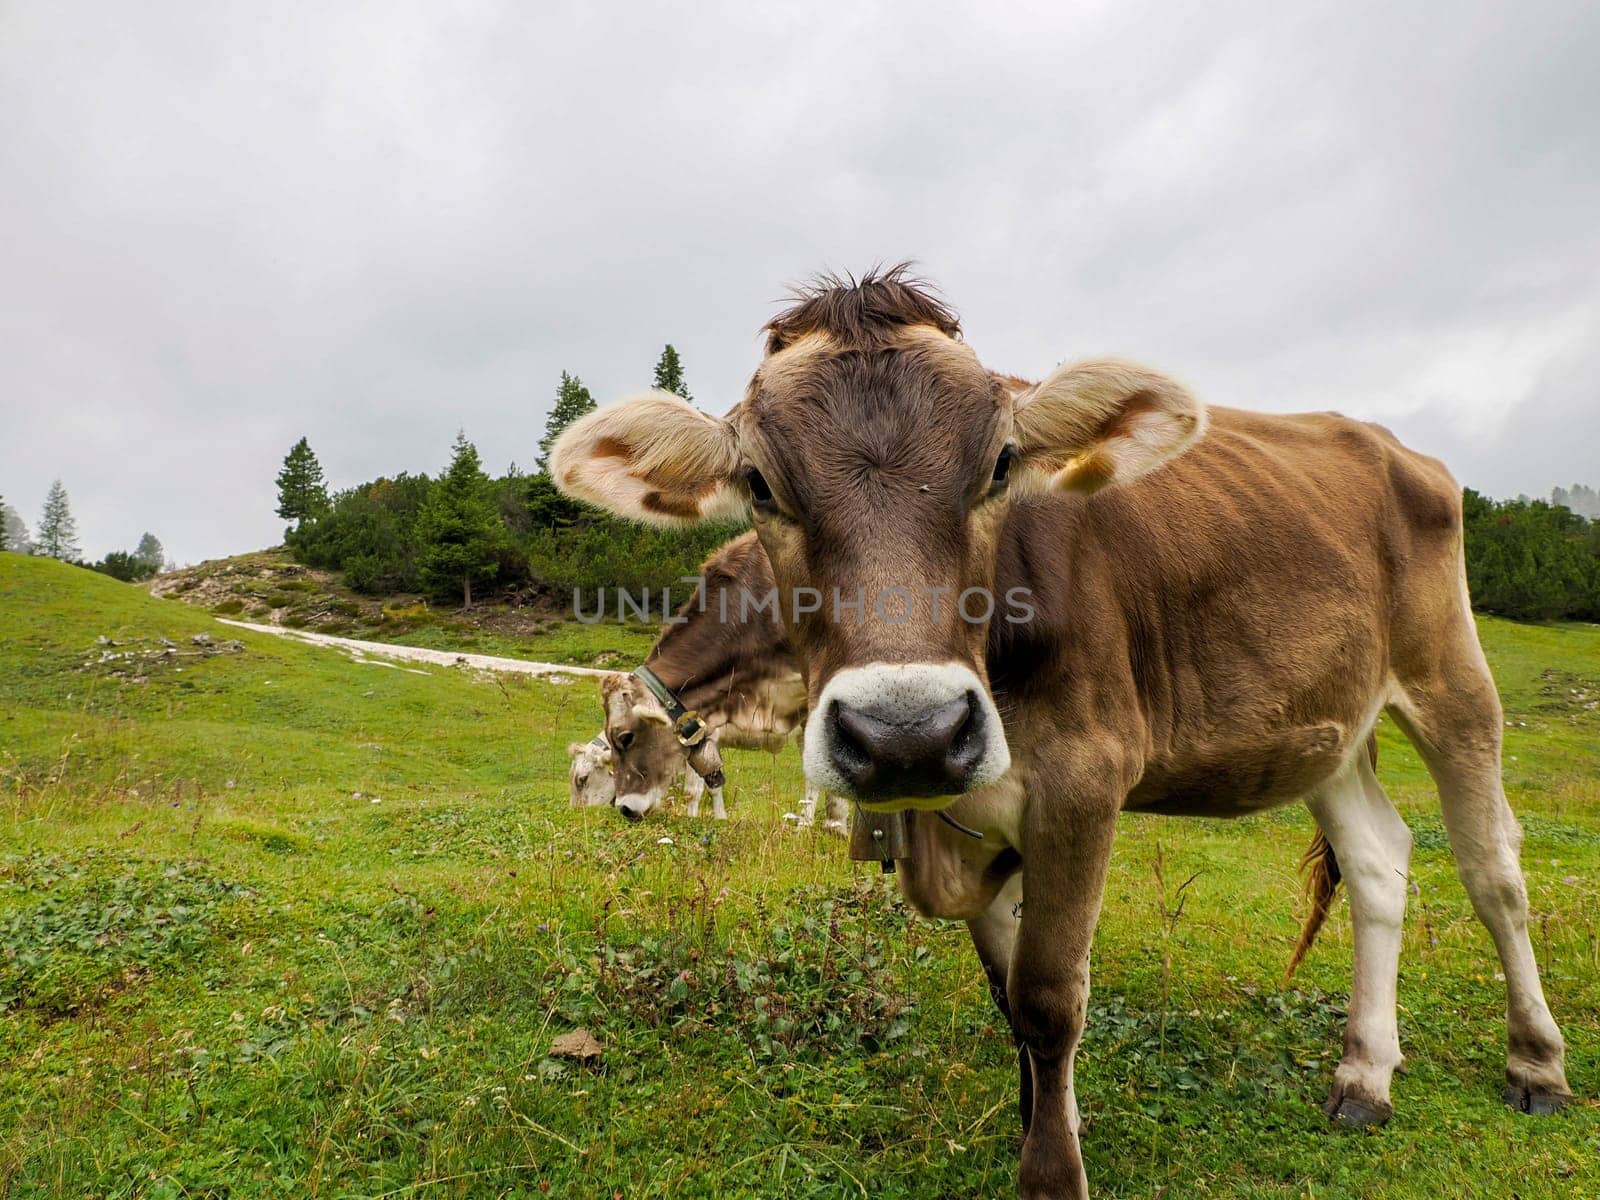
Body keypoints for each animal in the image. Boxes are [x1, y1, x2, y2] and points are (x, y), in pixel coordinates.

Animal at [553, 270, 1574, 1200]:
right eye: (760, 484)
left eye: (1002, 465)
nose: (907, 735)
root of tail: (1390, 443)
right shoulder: (970, 811)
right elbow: (1009, 993)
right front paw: (1046, 1119)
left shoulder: (1082, 782)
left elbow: (1048, 999)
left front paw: (1051, 1168)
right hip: (1326, 725)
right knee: (1377, 863)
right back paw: (1365, 1074)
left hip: (1451, 681)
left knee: (1493, 869)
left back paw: (1536, 1061)